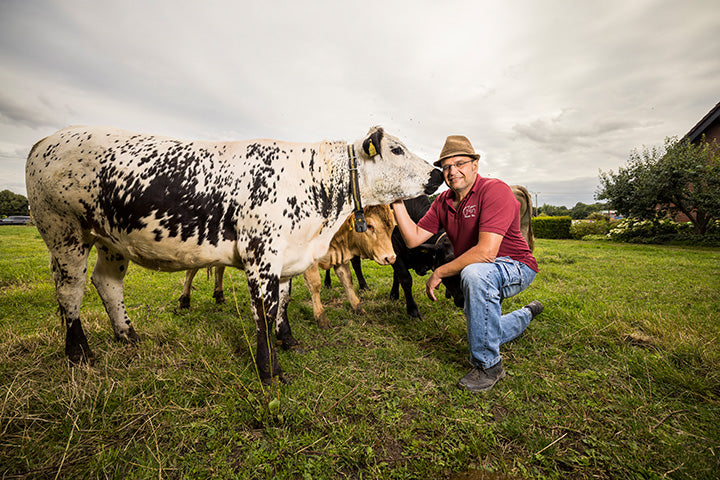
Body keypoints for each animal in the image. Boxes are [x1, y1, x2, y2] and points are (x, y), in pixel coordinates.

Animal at [26, 124, 444, 382]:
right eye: (396, 149)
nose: (438, 173)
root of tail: (46, 140)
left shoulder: (285, 259)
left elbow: (283, 304)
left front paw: (288, 341)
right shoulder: (261, 256)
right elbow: (264, 312)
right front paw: (269, 370)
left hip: (111, 242)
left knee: (108, 284)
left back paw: (128, 335)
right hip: (64, 233)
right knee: (71, 292)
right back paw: (79, 352)